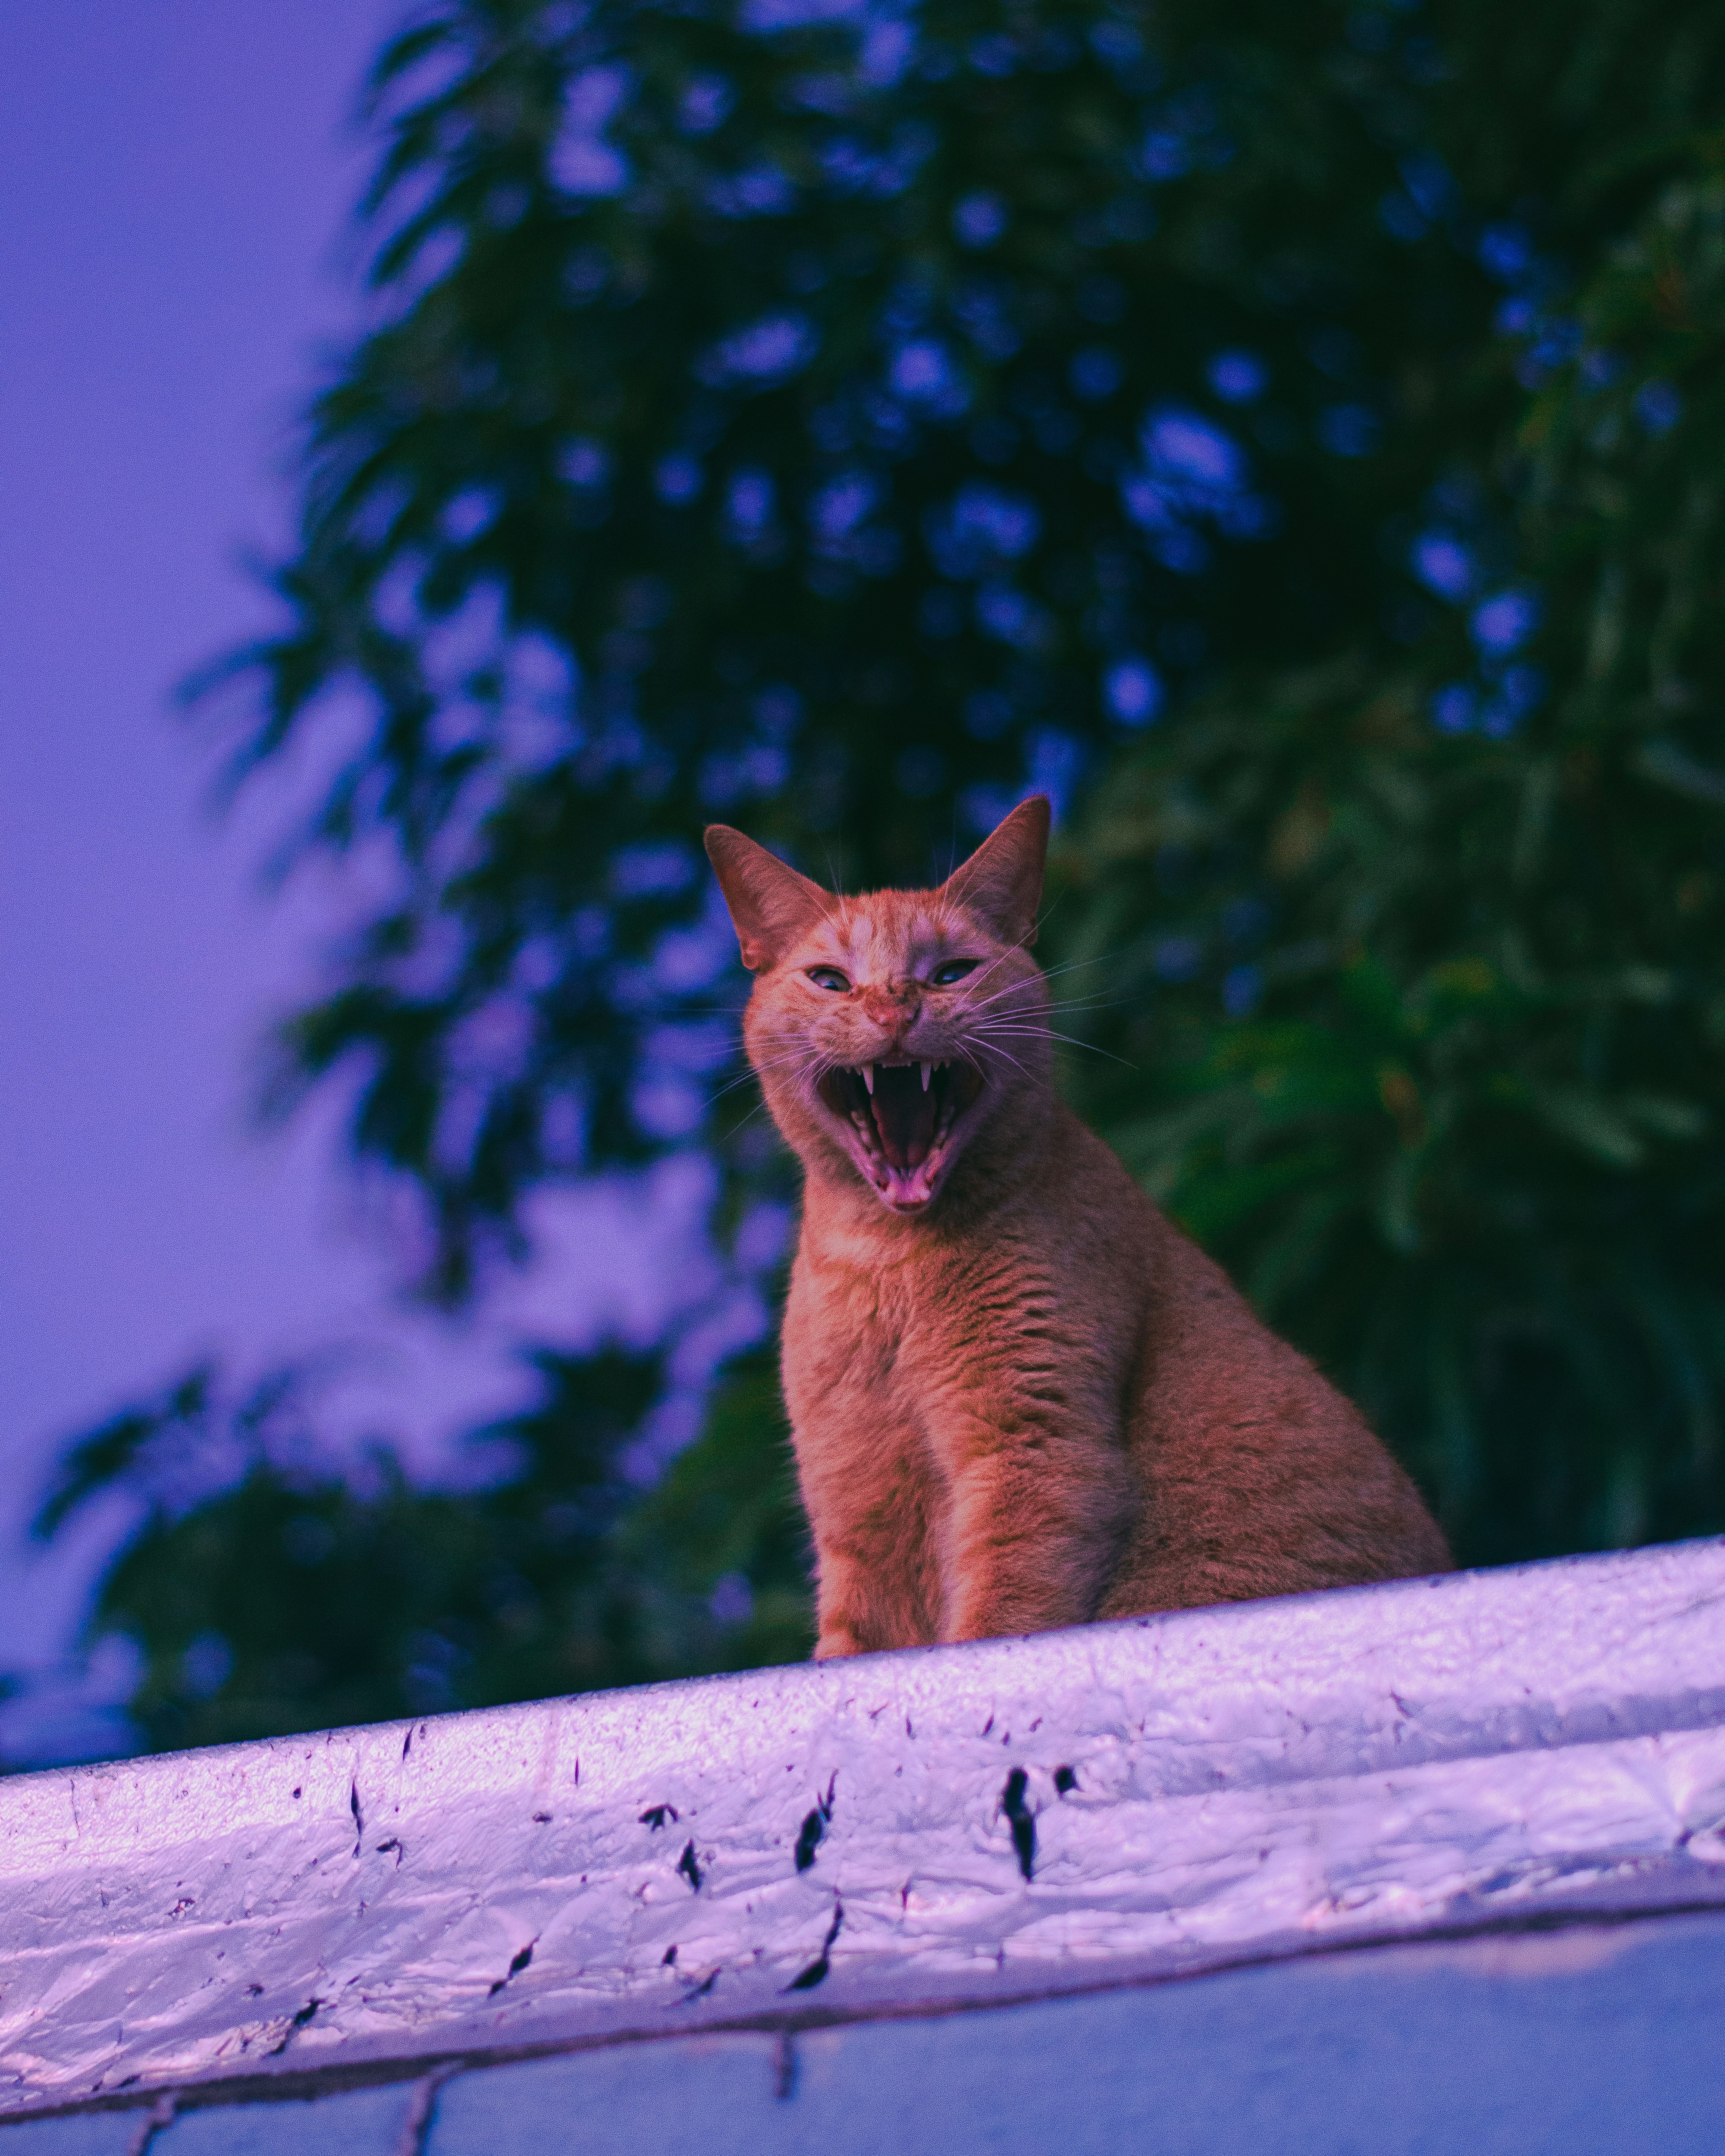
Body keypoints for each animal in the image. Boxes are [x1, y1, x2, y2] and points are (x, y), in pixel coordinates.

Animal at [707, 793, 1449, 1647]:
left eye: (951, 973)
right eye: (831, 981)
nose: (896, 1007)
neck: (889, 1264)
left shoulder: (1035, 1450)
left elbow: (999, 1619)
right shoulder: (858, 1512)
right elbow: (853, 1644)